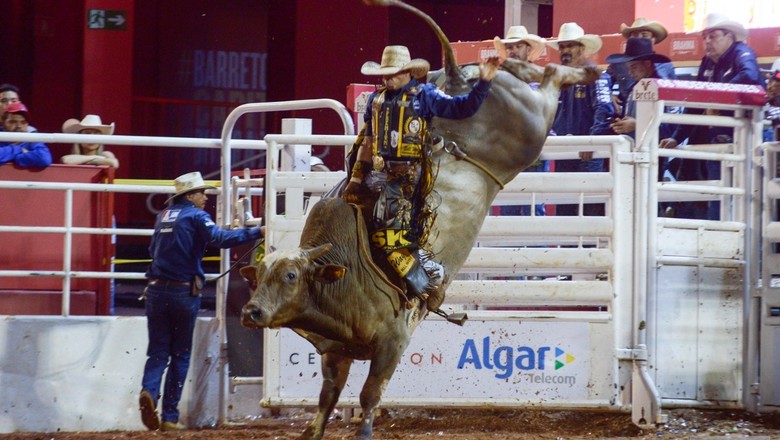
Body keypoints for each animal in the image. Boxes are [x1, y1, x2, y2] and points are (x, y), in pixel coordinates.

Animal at [241, 0, 600, 436]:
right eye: (259, 275)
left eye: (291, 276)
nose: (251, 312)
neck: (343, 268)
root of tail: (454, 77)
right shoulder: (334, 354)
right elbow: (326, 401)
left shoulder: (391, 343)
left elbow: (369, 396)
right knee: (526, 71)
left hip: (531, 125)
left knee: (549, 79)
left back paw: (581, 69)